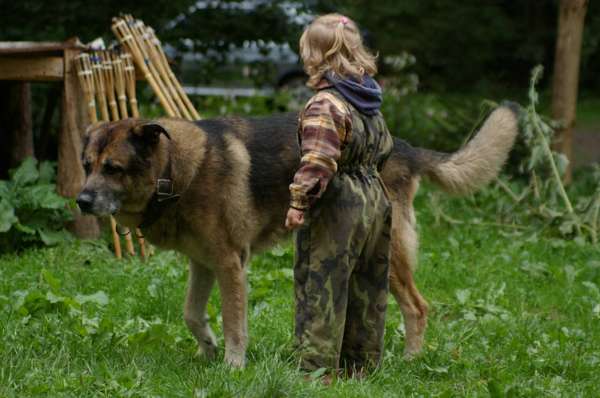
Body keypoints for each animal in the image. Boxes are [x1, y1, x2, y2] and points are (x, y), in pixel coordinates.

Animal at [78, 105, 520, 366]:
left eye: (114, 168)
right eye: (86, 165)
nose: (81, 201)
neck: (175, 170)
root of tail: (406, 148)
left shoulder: (230, 264)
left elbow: (234, 322)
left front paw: (232, 367)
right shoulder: (202, 263)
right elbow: (191, 313)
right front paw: (207, 349)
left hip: (388, 254)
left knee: (417, 306)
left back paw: (409, 360)